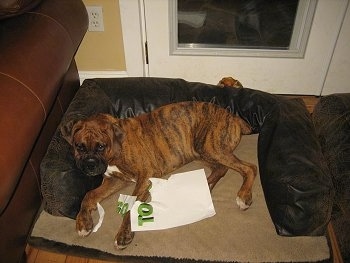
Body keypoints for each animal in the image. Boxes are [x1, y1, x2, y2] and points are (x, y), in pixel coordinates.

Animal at [60, 102, 258, 251]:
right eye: (79, 147)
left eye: (101, 146)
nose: (90, 165)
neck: (117, 146)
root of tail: (233, 116)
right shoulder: (116, 179)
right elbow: (89, 195)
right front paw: (83, 222)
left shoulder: (144, 178)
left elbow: (132, 205)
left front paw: (124, 235)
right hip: (199, 150)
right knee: (221, 169)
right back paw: (207, 186)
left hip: (210, 147)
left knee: (249, 168)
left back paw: (243, 196)